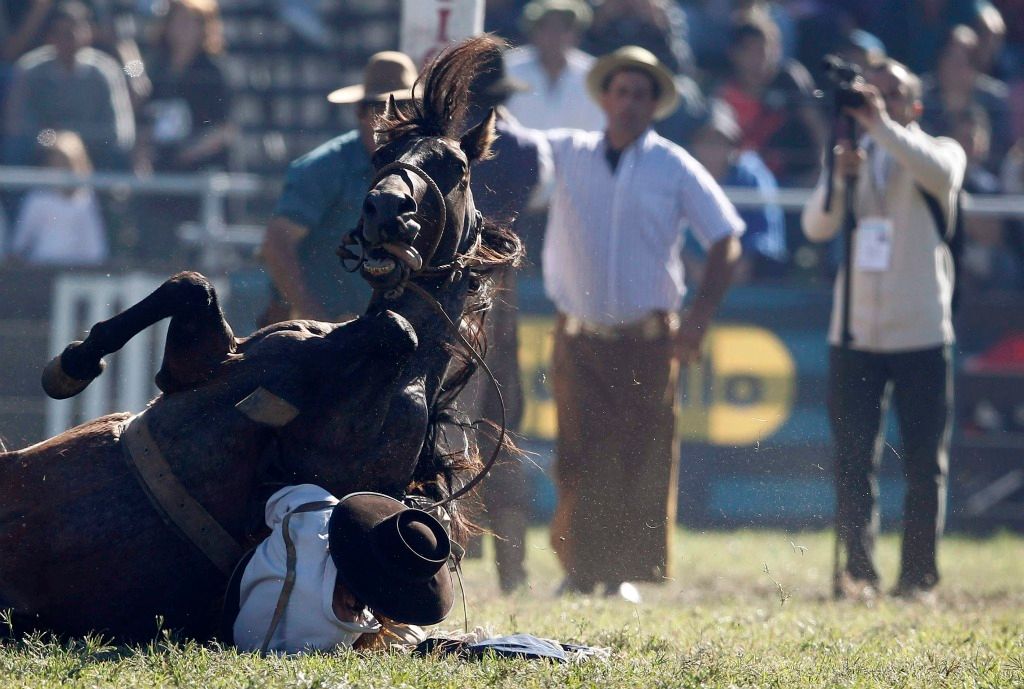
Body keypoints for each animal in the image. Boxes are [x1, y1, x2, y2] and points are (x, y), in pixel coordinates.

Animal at [0, 36, 520, 638]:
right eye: (381, 157)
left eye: (455, 167)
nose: (386, 208)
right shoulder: (200, 366)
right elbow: (191, 285)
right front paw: (72, 364)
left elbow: (396, 330)